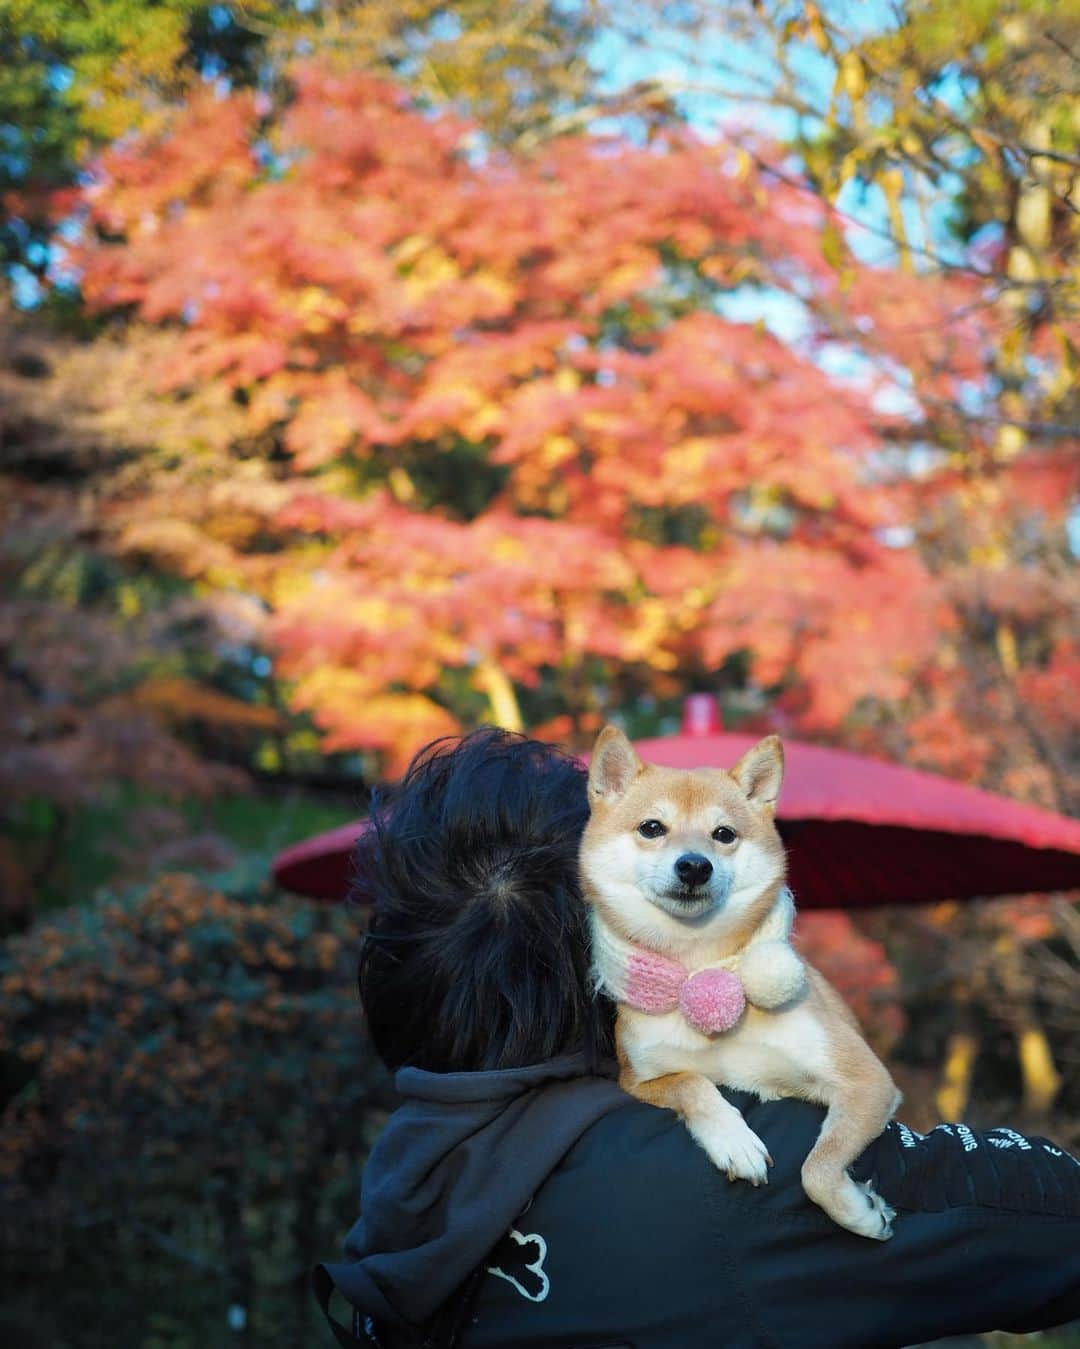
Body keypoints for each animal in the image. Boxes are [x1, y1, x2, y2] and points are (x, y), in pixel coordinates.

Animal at [582, 723, 900, 1235]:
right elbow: (691, 1080)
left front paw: (859, 1212)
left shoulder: (866, 1081)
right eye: (652, 828)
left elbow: (817, 1169)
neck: (701, 968)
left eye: (724, 834)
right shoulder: (636, 1081)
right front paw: (733, 1139)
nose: (694, 865)